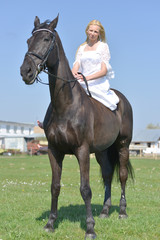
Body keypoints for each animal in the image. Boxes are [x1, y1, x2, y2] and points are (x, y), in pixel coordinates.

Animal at [20, 15, 134, 239]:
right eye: (29, 41)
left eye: (47, 39)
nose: (26, 71)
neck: (65, 105)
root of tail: (123, 100)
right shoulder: (54, 151)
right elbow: (55, 186)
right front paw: (50, 223)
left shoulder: (82, 151)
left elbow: (85, 189)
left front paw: (90, 228)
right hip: (102, 151)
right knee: (108, 175)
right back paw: (105, 211)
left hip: (123, 146)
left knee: (122, 175)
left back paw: (122, 212)